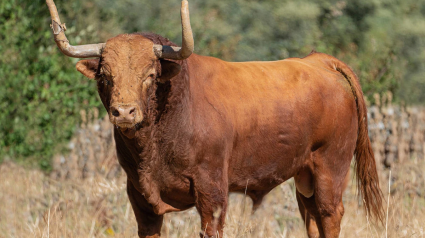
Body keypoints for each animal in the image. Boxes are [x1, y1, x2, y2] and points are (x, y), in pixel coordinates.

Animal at [46, 0, 384, 237]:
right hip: (305, 177)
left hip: (331, 167)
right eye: (105, 76)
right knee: (312, 219)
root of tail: (319, 60)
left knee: (330, 215)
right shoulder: (140, 196)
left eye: (150, 75)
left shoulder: (212, 192)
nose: (125, 112)